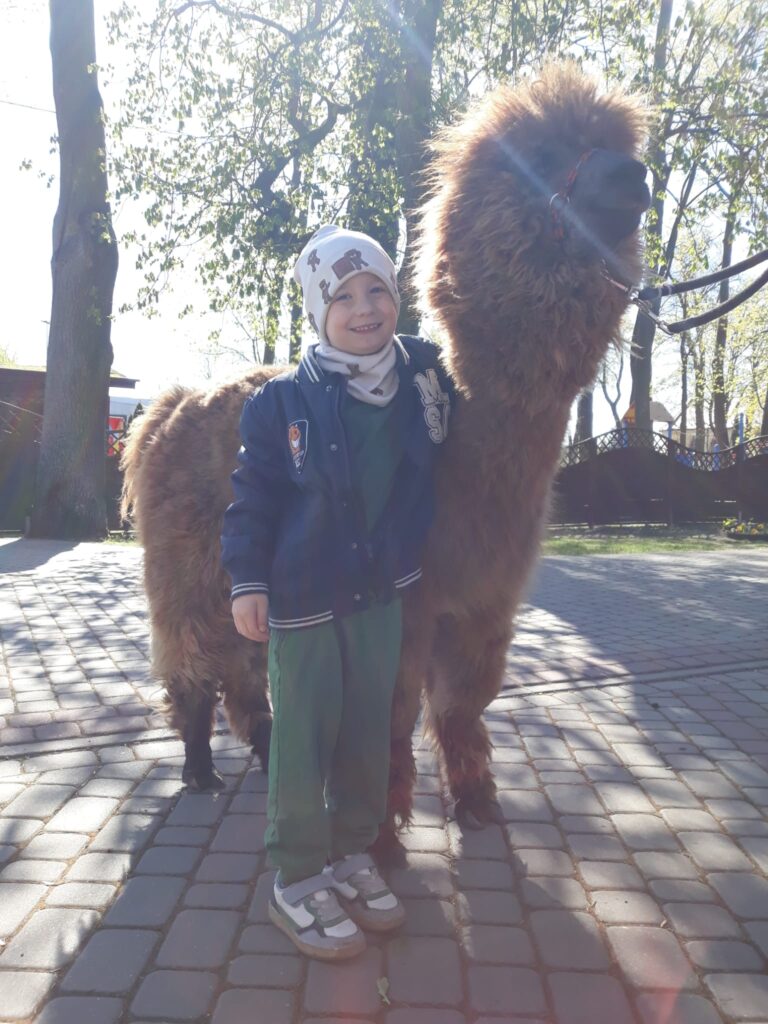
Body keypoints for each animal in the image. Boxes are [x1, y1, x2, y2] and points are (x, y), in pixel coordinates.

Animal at [122, 63, 649, 855]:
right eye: (548, 152)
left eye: (623, 145)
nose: (635, 176)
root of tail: (169, 404)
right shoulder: (408, 601)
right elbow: (392, 712)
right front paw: (383, 836)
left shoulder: (487, 603)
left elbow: (464, 704)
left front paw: (478, 804)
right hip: (187, 564)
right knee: (190, 656)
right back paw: (199, 767)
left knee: (242, 668)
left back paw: (267, 750)